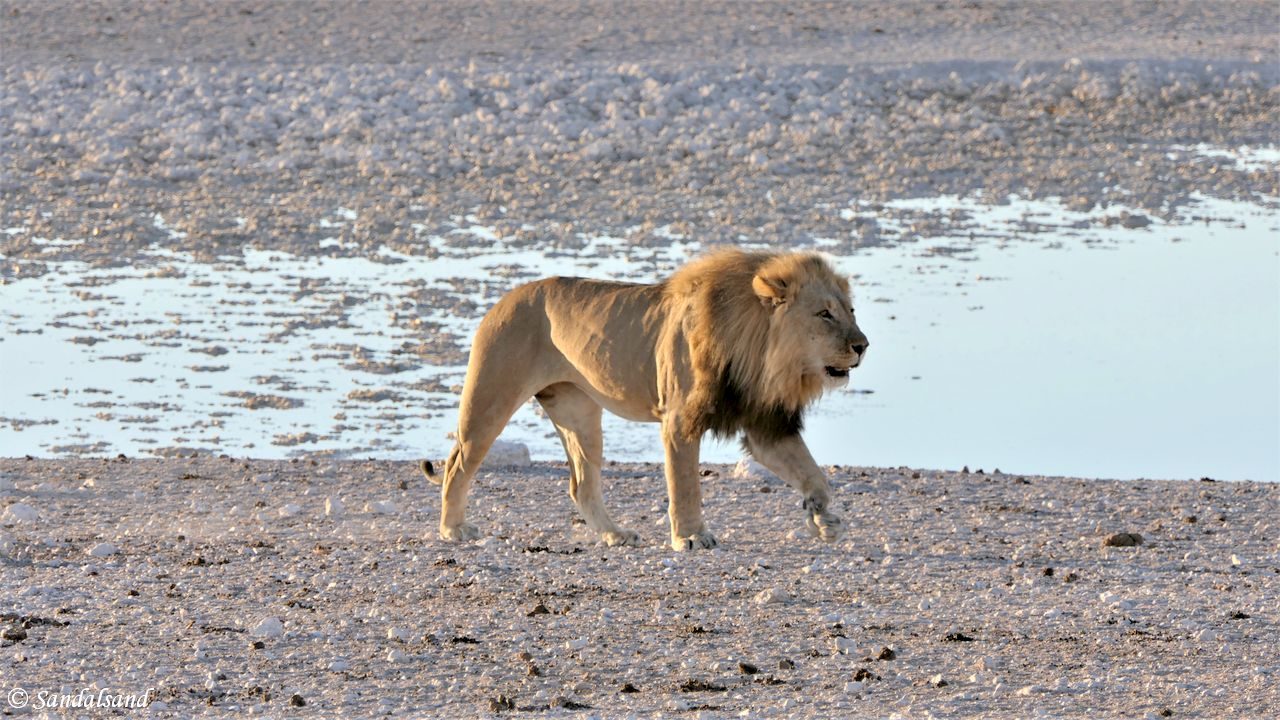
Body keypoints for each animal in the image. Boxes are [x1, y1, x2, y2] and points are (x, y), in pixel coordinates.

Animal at [419, 248, 870, 548]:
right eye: (824, 314)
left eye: (850, 311)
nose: (863, 346)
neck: (761, 352)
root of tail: (504, 298)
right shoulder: (680, 419)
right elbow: (684, 485)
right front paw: (691, 537)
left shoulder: (764, 423)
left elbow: (814, 474)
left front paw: (823, 518)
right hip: (490, 397)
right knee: (458, 464)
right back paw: (452, 529)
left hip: (578, 412)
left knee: (581, 485)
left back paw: (616, 535)